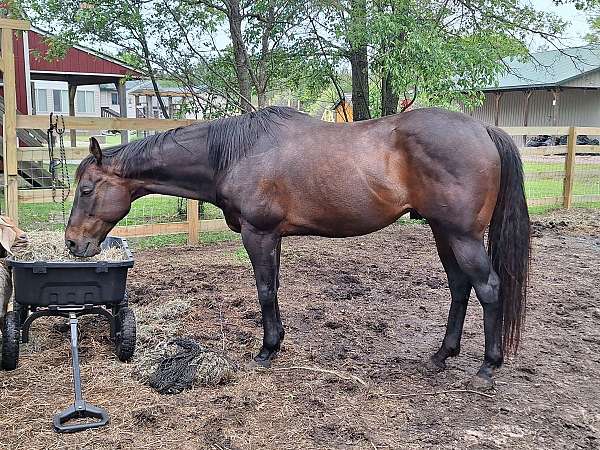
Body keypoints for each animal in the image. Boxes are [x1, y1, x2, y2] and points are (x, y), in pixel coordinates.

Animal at [65, 106, 528, 386]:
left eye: (87, 189)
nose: (73, 243)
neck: (237, 153)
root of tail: (483, 129)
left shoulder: (259, 234)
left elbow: (265, 291)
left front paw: (267, 350)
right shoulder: (274, 238)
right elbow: (274, 290)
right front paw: (277, 342)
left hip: (461, 235)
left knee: (488, 288)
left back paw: (488, 366)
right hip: (441, 231)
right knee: (459, 287)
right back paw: (442, 355)